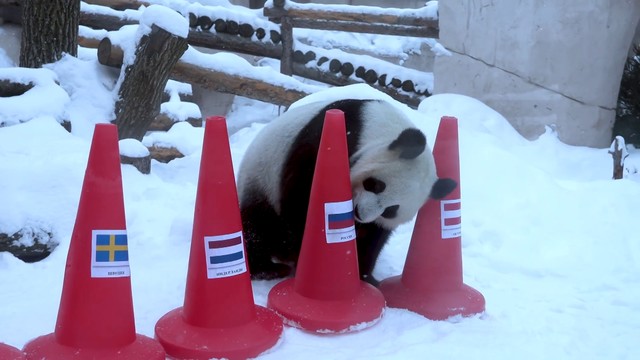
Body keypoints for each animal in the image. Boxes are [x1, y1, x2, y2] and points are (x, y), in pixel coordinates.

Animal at [239, 97, 456, 284]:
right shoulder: (328, 137)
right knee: (255, 226)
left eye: (391, 210)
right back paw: (268, 268)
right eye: (376, 185)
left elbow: (374, 235)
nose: (360, 213)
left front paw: (365, 277)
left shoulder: (377, 221)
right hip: (260, 181)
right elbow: (303, 197)